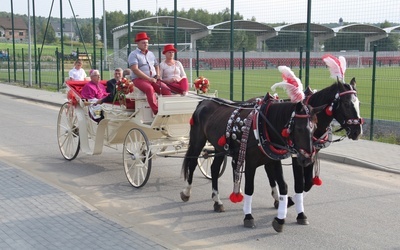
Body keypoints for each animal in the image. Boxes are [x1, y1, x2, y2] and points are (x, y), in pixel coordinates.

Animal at [181, 96, 324, 232]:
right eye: (299, 128)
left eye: (315, 128)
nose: (307, 159)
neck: (263, 126)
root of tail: (204, 101)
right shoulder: (250, 163)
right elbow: (250, 188)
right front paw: (248, 217)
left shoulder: (274, 161)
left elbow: (283, 186)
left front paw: (280, 219)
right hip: (198, 141)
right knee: (192, 164)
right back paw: (187, 192)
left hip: (219, 147)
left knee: (215, 169)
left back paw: (217, 201)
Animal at [266, 77, 362, 226]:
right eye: (346, 103)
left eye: (359, 103)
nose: (357, 131)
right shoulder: (297, 156)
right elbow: (300, 183)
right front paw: (295, 207)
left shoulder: (311, 155)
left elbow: (309, 183)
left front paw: (294, 202)